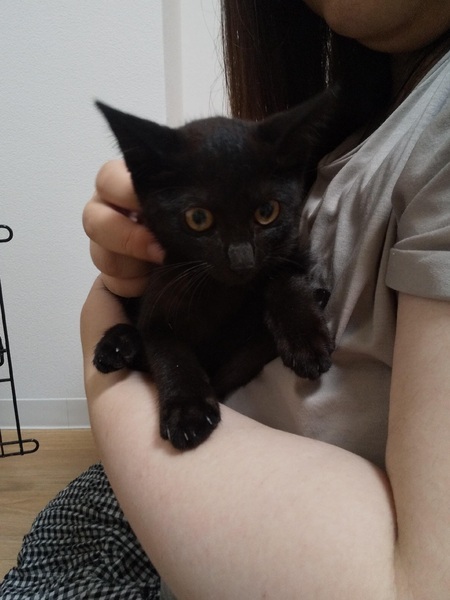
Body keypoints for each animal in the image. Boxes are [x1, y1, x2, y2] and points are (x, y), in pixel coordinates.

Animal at [93, 91, 343, 451]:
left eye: (267, 212)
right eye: (198, 218)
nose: (242, 261)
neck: (222, 290)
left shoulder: (292, 251)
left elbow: (284, 279)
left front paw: (305, 338)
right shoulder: (159, 300)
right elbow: (171, 354)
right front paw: (188, 411)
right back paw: (116, 346)